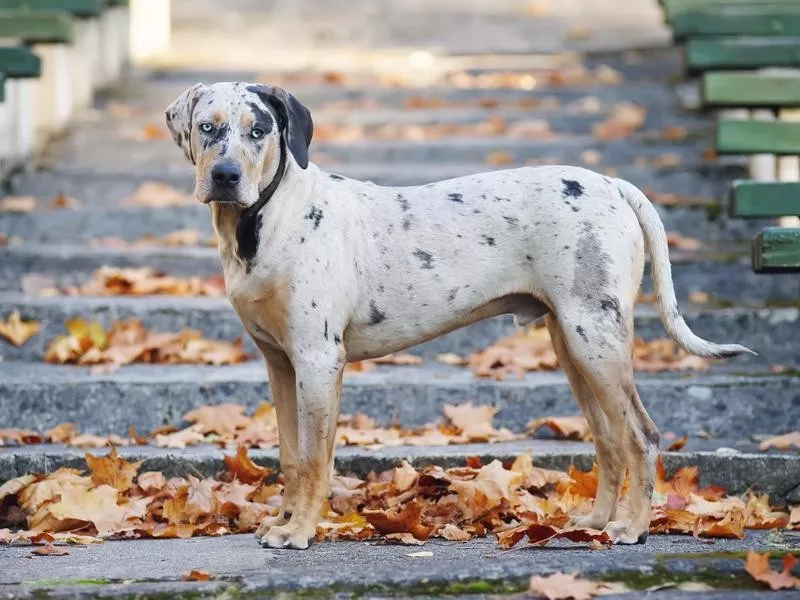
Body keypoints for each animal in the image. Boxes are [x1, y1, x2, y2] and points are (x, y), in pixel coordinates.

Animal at [166, 82, 752, 552]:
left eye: (258, 130)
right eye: (207, 127)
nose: (225, 175)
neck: (266, 221)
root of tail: (612, 184)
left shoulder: (317, 361)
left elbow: (313, 459)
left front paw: (299, 532)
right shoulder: (280, 364)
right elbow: (290, 456)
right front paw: (283, 521)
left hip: (596, 340)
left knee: (641, 436)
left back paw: (632, 528)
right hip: (572, 343)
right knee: (609, 439)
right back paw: (594, 521)